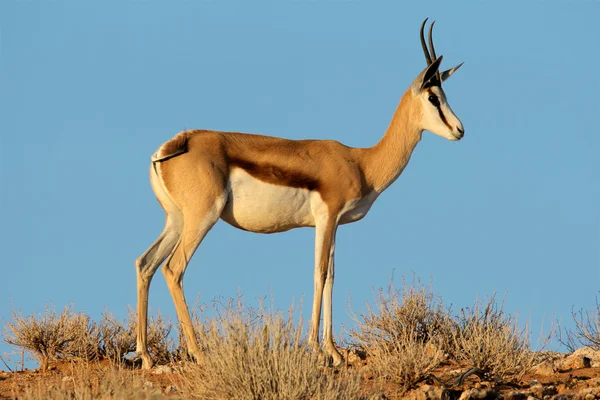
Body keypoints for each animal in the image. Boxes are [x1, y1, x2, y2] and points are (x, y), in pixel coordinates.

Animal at [135, 18, 464, 368]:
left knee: (146, 263)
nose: (459, 130)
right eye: (434, 98)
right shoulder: (326, 218)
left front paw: (334, 351)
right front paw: (317, 349)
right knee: (174, 268)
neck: (361, 162)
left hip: (177, 220)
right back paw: (198, 352)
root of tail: (175, 144)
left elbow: (332, 276)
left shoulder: (334, 225)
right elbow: (319, 274)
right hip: (202, 218)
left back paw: (145, 355)